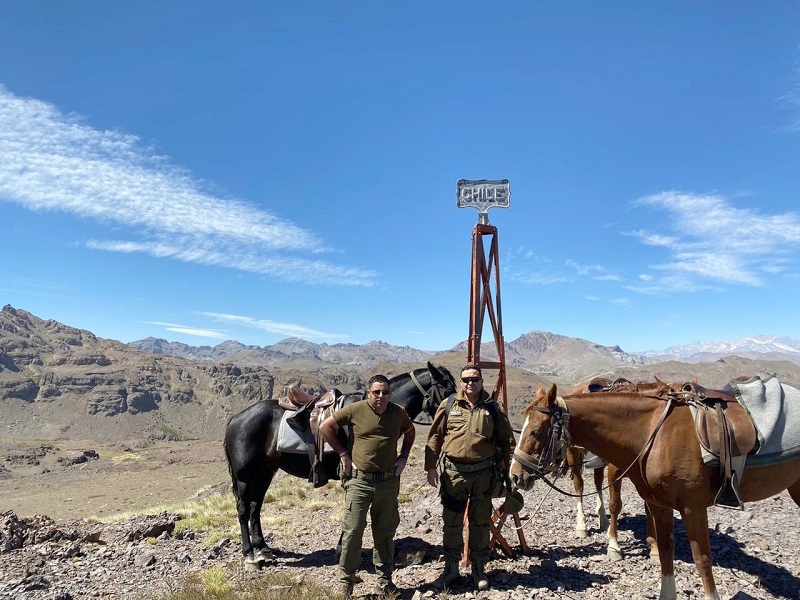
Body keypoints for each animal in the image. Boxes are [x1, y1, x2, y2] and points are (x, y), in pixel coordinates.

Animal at [223, 360, 456, 568]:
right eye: (446, 388)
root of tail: (235, 419)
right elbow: (352, 511)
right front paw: (342, 550)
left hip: (265, 471)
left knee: (255, 506)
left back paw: (263, 548)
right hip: (245, 474)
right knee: (243, 509)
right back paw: (250, 555)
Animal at [512, 382, 800, 596]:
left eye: (535, 431)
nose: (515, 476)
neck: (654, 433)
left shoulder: (692, 507)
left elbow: (701, 560)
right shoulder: (660, 503)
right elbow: (665, 554)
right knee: (581, 486)